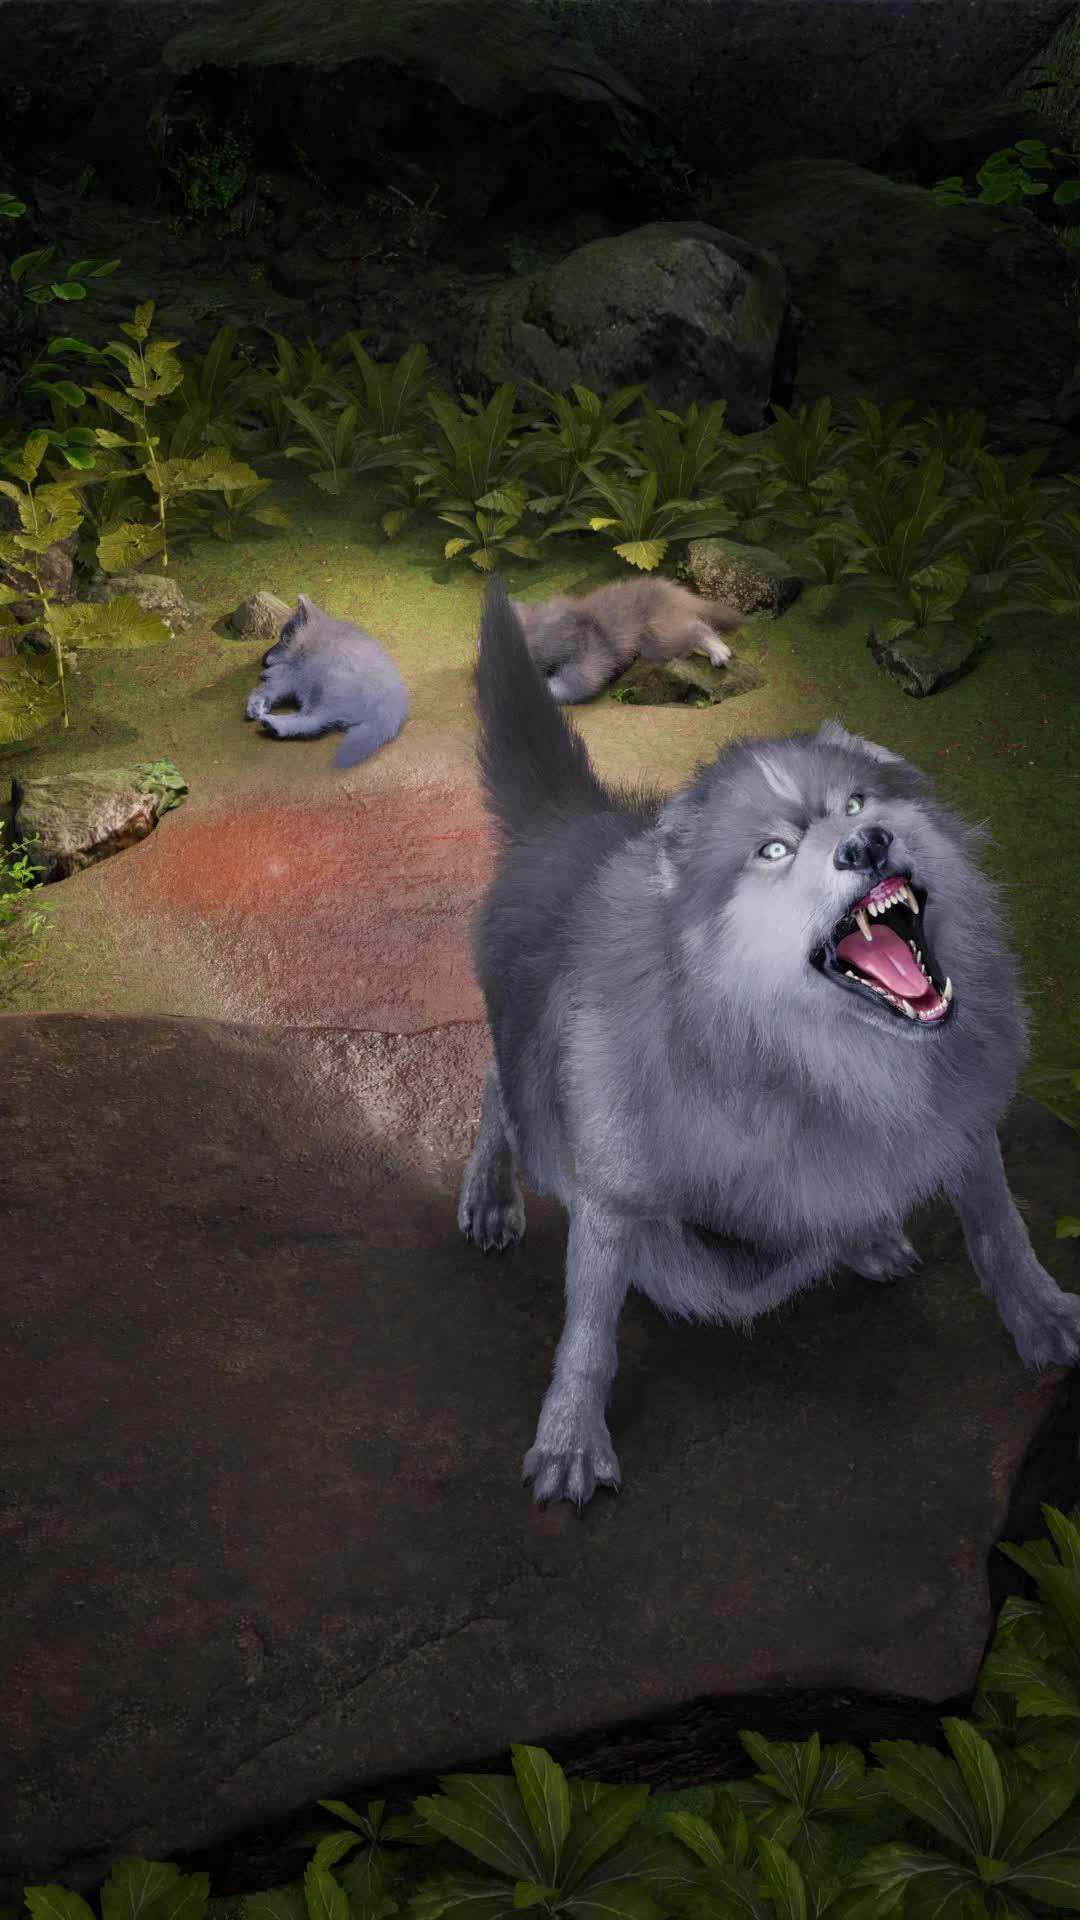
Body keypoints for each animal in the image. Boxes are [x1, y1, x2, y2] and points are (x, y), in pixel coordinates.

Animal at [245, 594, 409, 769]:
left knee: (314, 720)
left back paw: (274, 725)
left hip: (326, 683)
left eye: (286, 638)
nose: (263, 659)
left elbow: (270, 686)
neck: (316, 639)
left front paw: (256, 700)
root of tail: (389, 715)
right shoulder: (298, 672)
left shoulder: (300, 674)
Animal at [511, 576, 744, 704]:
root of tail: (676, 592)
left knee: (698, 627)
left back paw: (719, 652)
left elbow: (576, 681)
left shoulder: (590, 650)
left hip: (660, 635)